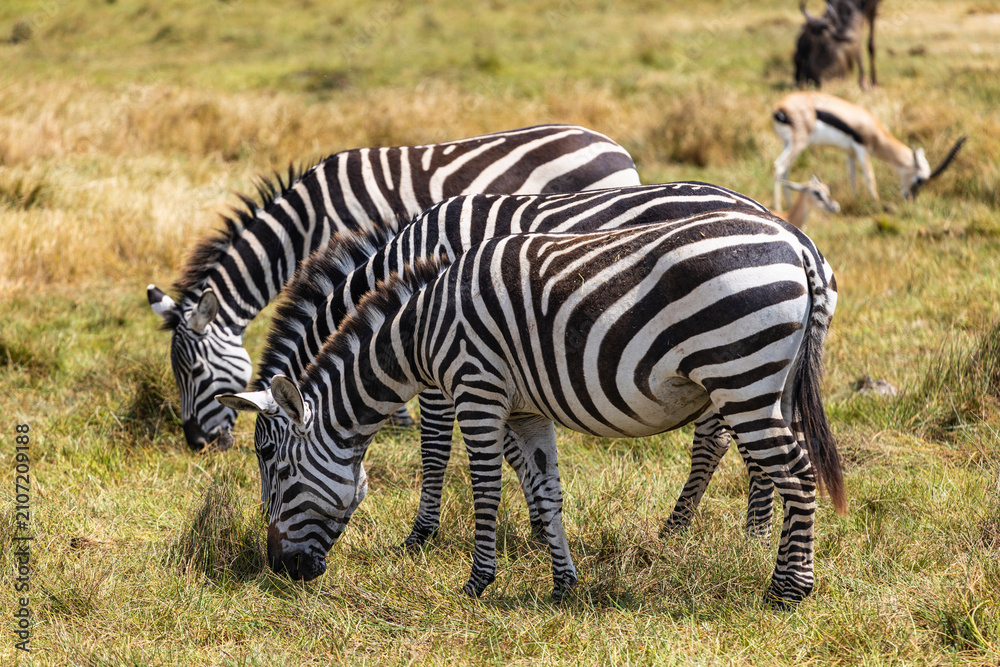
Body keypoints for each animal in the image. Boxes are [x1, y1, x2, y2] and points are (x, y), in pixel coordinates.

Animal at [218, 209, 847, 608]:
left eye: (276, 468)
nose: (279, 570)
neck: (418, 332)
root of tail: (796, 243)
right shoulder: (526, 410)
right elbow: (545, 492)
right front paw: (563, 585)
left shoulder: (476, 389)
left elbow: (484, 487)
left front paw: (476, 583)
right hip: (770, 382)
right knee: (779, 465)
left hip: (739, 373)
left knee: (796, 473)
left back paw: (787, 590)